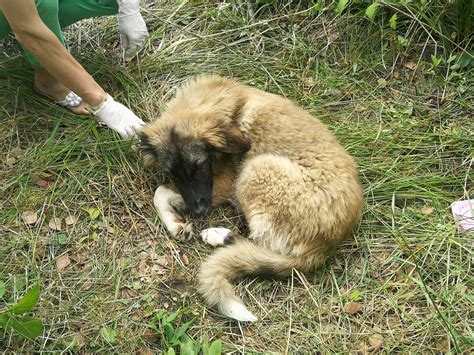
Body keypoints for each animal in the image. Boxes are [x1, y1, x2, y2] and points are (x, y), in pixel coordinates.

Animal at [138, 75, 362, 322]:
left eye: (200, 166)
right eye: (173, 173)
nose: (198, 212)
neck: (231, 106)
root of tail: (324, 248)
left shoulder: (223, 184)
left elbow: (160, 192)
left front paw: (176, 223)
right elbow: (163, 191)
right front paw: (176, 224)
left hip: (255, 170)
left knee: (255, 242)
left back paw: (217, 235)